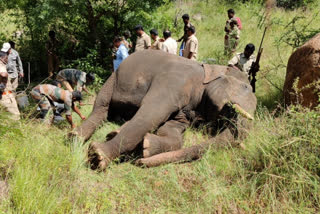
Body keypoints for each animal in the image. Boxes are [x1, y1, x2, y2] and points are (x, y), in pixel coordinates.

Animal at [74, 49, 256, 170]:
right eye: (246, 87)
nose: (138, 163)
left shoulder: (188, 108)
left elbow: (172, 131)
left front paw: (145, 146)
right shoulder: (174, 82)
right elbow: (151, 114)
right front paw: (97, 156)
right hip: (114, 76)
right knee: (101, 106)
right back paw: (75, 138)